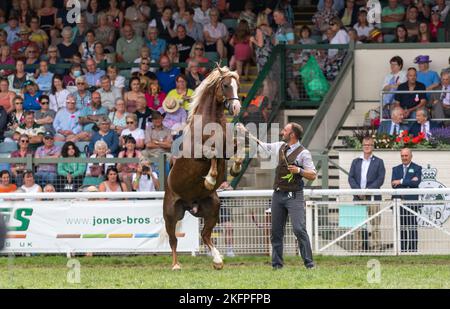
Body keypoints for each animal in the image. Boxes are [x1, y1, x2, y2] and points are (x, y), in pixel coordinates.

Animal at [163, 66, 243, 268]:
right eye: (225, 85)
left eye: (237, 85)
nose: (236, 107)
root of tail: (190, 205)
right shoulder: (200, 153)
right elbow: (212, 154)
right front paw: (210, 179)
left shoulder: (228, 148)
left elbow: (239, 147)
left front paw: (235, 168)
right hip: (170, 214)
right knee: (173, 239)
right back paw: (176, 265)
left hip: (212, 208)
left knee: (205, 235)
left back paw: (218, 260)